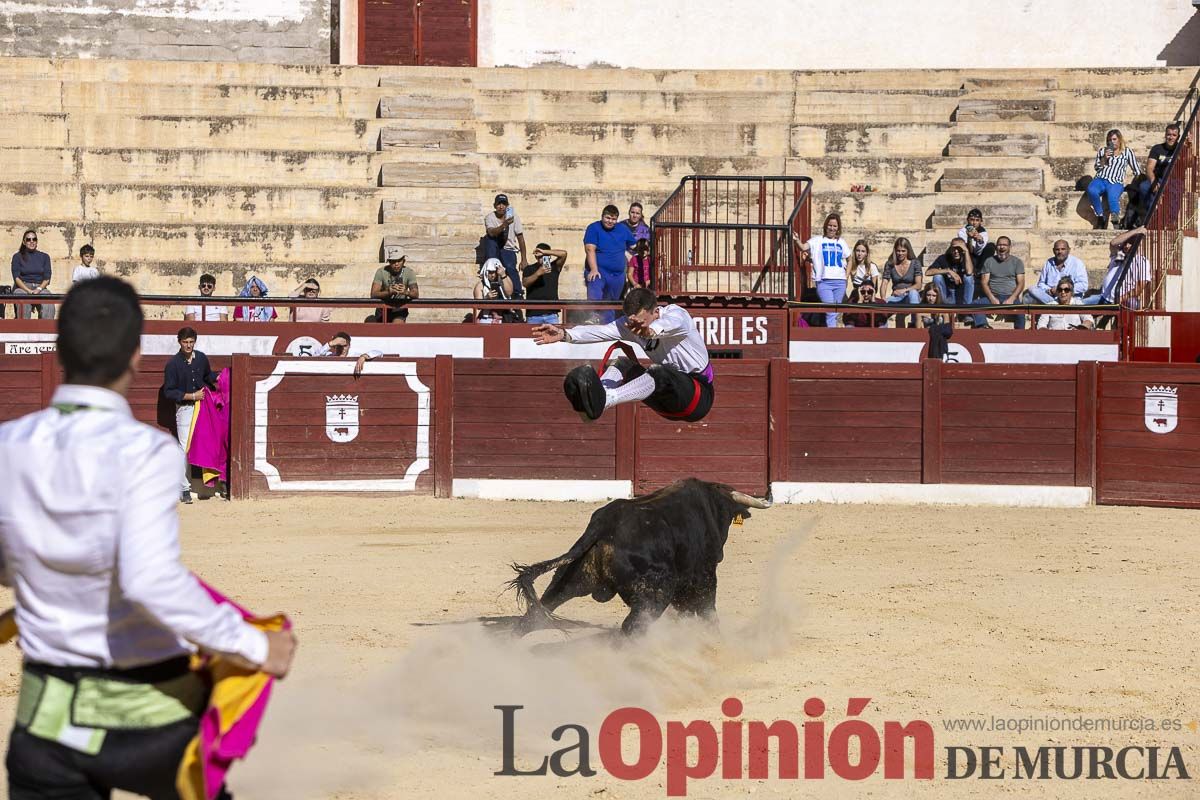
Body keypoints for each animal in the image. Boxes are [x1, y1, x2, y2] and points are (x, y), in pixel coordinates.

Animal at [504, 479, 768, 633]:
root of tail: (603, 526)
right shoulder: (704, 575)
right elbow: (707, 611)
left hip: (569, 578)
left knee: (533, 616)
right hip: (654, 593)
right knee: (632, 627)